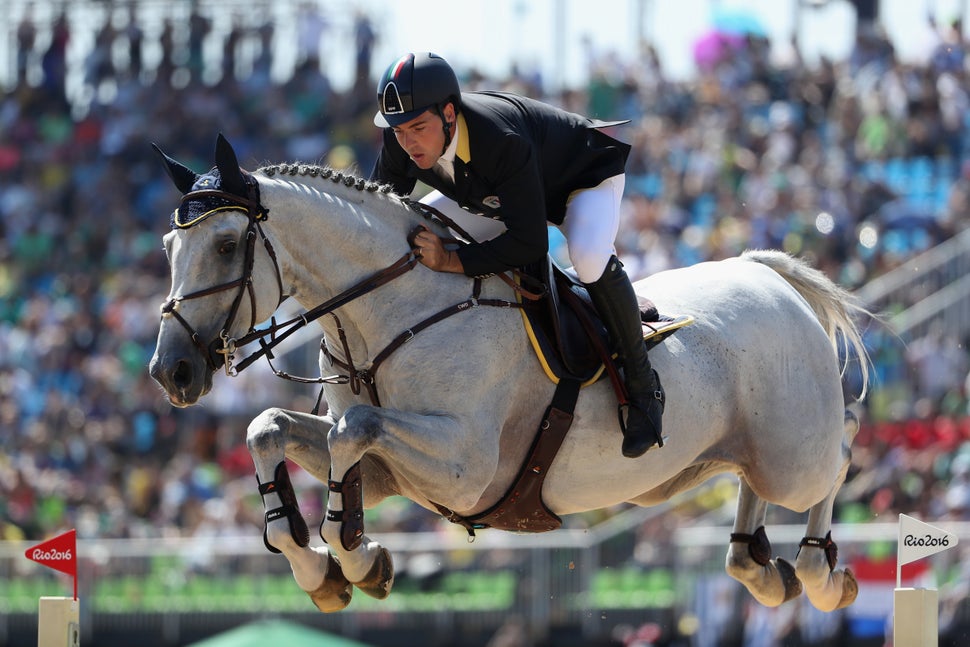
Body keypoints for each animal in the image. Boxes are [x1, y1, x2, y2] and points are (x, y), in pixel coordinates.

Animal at [149, 134, 869, 615]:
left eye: (225, 245)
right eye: (167, 246)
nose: (170, 372)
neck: (390, 309)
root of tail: (767, 274)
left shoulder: (464, 467)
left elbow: (350, 430)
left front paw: (355, 555)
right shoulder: (393, 473)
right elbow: (272, 429)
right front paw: (326, 571)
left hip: (793, 452)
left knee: (837, 456)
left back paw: (821, 572)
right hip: (747, 450)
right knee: (754, 490)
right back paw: (760, 565)